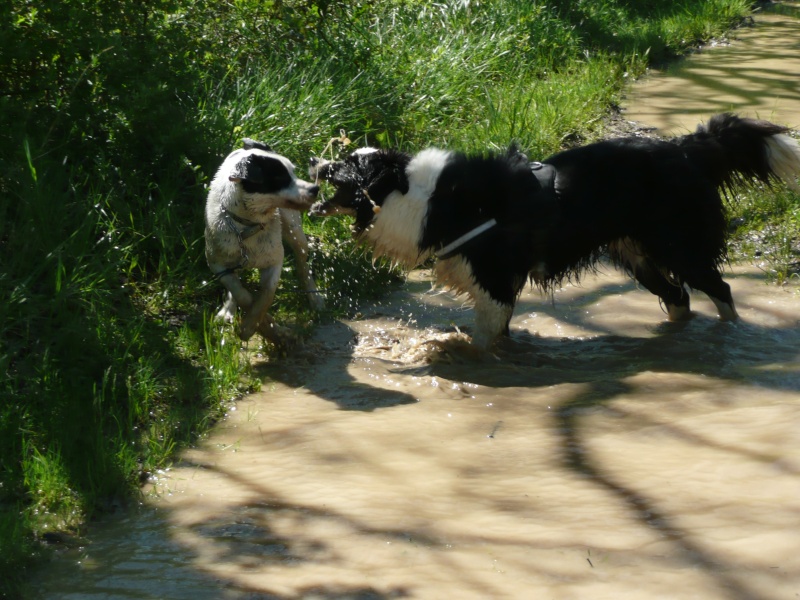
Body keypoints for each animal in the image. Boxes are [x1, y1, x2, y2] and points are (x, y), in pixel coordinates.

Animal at [206, 139, 324, 344]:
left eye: (293, 172)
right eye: (281, 178)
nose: (314, 189)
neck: (247, 226)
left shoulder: (275, 260)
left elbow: (266, 295)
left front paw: (252, 326)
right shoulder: (217, 264)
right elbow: (239, 292)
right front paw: (261, 325)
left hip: (295, 231)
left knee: (303, 266)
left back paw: (314, 298)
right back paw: (228, 310)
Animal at [310, 113, 800, 350]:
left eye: (347, 165)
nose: (314, 161)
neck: (417, 193)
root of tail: (684, 149)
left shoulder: (495, 283)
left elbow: (483, 342)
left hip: (680, 247)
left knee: (720, 290)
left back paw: (729, 337)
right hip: (637, 257)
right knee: (678, 297)